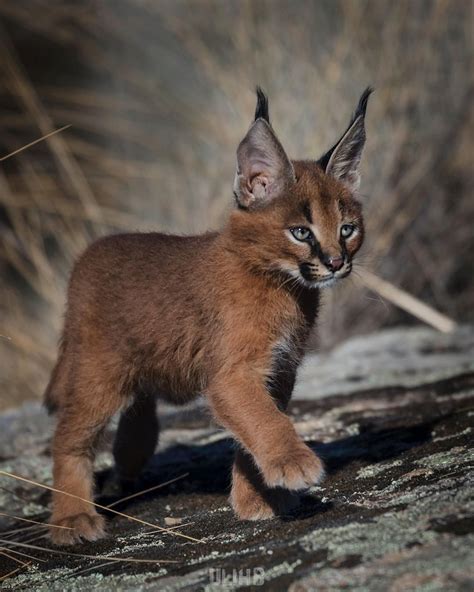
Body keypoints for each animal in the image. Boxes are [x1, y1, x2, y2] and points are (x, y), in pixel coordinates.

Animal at [45, 85, 370, 544]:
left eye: (347, 229)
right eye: (300, 232)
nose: (336, 262)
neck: (282, 285)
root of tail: (89, 253)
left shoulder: (279, 368)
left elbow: (254, 425)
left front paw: (256, 500)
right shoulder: (233, 373)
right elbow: (265, 420)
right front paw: (294, 464)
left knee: (140, 404)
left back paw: (129, 457)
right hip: (97, 372)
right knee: (69, 436)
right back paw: (72, 518)